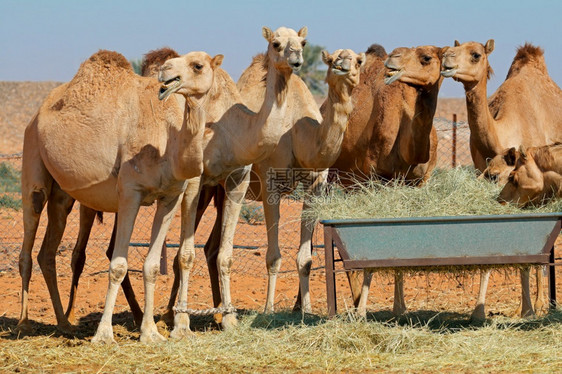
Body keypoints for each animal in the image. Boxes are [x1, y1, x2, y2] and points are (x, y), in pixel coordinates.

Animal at [18, 49, 218, 344]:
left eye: (198, 65)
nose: (168, 73)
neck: (166, 140)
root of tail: (36, 115)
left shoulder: (171, 196)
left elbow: (153, 265)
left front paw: (152, 332)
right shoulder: (130, 194)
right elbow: (118, 264)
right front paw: (104, 335)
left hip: (62, 194)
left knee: (47, 252)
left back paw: (64, 324)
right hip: (32, 155)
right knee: (29, 234)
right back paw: (23, 325)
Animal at [438, 41, 560, 320]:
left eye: (476, 55)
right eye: (452, 47)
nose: (446, 57)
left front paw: (531, 308)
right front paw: (480, 311)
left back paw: (541, 304)